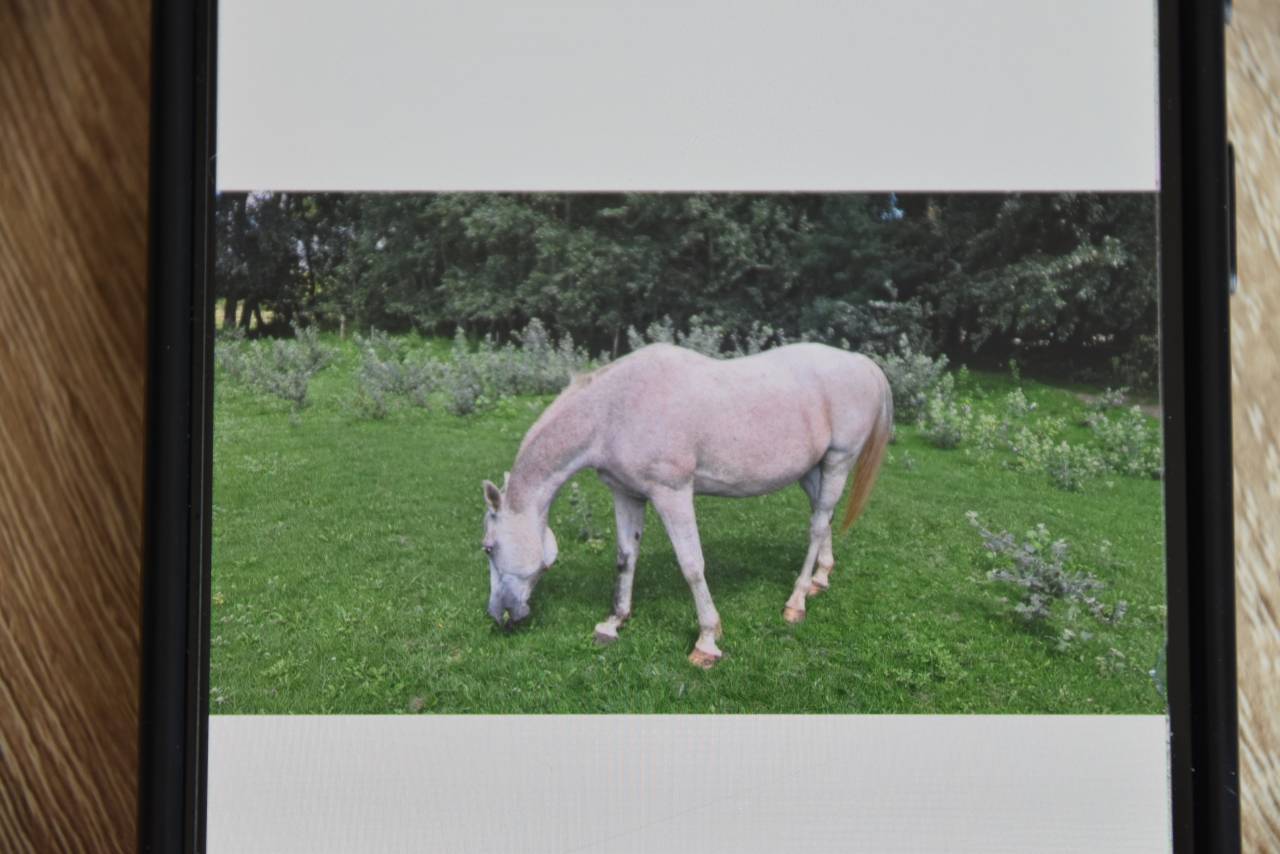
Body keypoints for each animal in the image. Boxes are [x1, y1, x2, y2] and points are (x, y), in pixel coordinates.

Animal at [480, 342, 893, 669]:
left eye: (488, 547)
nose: (500, 614)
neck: (614, 410)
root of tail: (860, 361)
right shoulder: (627, 494)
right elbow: (625, 557)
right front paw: (614, 622)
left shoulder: (672, 493)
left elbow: (692, 565)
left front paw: (707, 642)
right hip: (810, 470)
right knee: (823, 518)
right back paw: (820, 579)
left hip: (838, 461)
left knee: (818, 523)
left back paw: (797, 600)